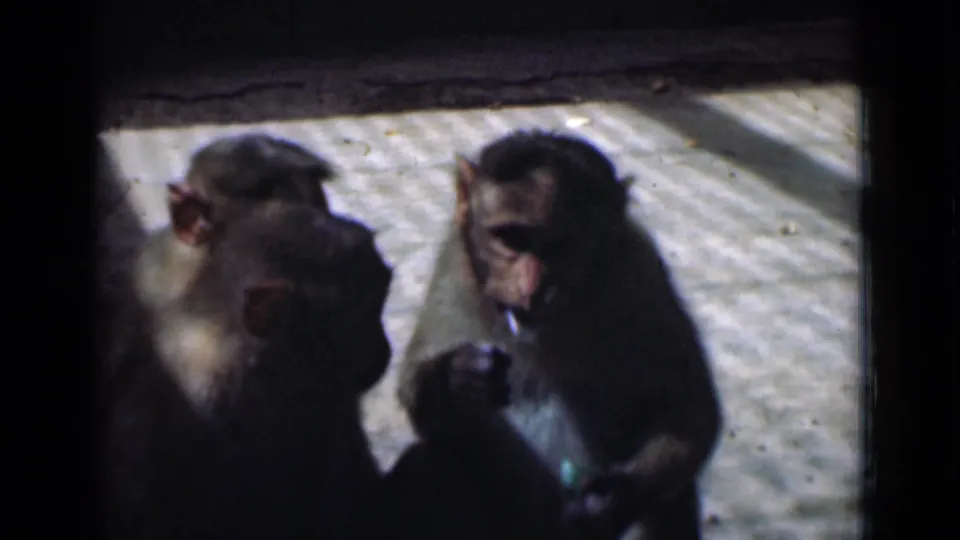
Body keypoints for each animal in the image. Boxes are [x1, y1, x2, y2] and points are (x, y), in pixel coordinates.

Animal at [387, 131, 723, 540]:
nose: (531, 288)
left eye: (562, 245)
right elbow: (422, 400)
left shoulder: (640, 272)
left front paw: (610, 499)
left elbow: (688, 409)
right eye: (509, 238)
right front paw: (457, 379)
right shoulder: (454, 265)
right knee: (428, 467)